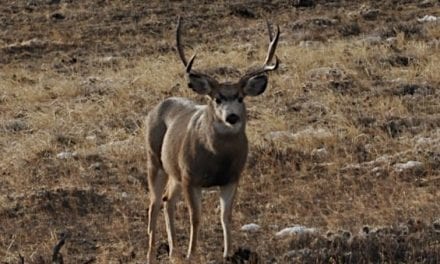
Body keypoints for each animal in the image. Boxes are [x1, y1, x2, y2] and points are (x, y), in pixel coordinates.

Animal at [146, 17, 280, 262]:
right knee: (154, 204)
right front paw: (192, 254)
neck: (218, 158)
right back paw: (152, 255)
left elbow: (226, 216)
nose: (232, 116)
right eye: (217, 98)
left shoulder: (232, 178)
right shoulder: (191, 177)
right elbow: (195, 218)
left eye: (240, 97)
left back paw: (173, 252)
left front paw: (228, 253)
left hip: (175, 172)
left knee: (168, 201)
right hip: (154, 161)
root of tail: (157, 106)